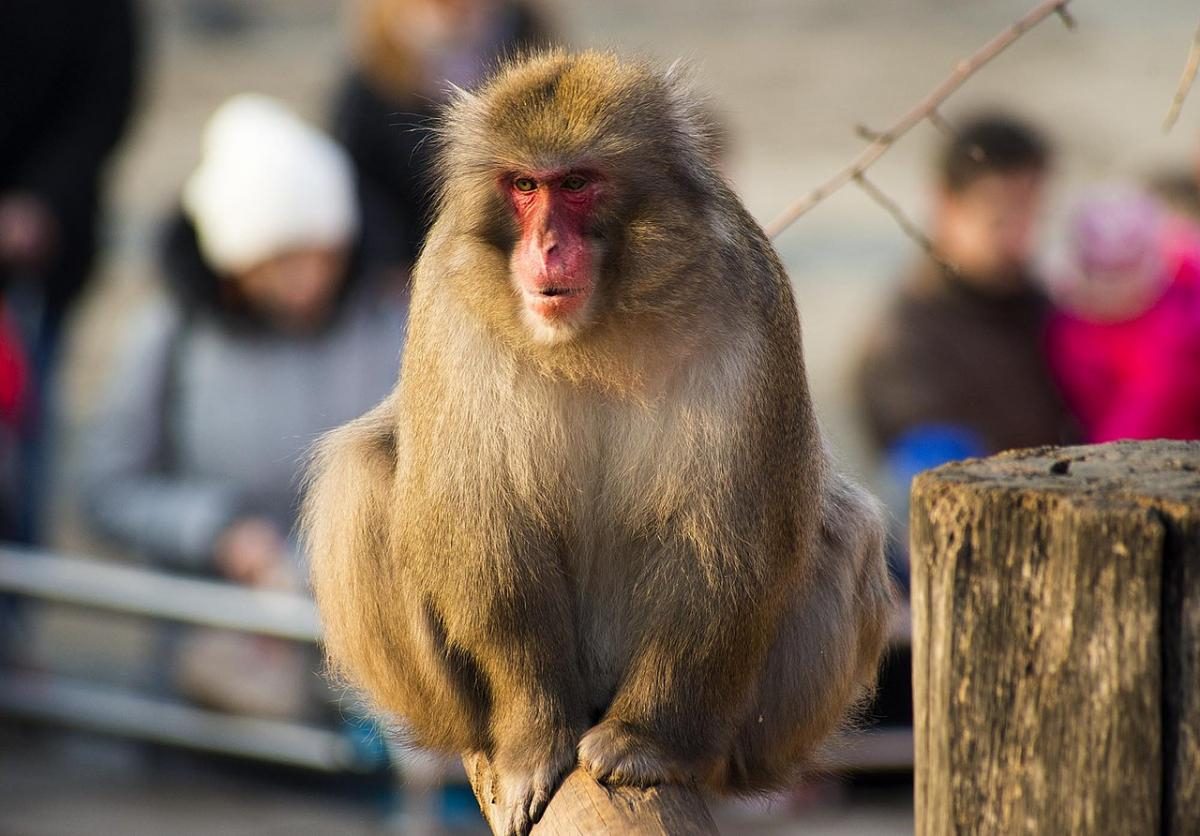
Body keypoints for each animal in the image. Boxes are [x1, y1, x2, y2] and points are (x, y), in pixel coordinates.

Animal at [304, 50, 897, 834]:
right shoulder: (447, 299)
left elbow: (725, 538)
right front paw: (533, 739)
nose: (546, 247)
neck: (595, 331)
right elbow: (483, 521)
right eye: (525, 186)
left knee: (841, 528)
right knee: (364, 475)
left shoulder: (746, 300)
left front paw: (646, 741)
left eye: (578, 184)